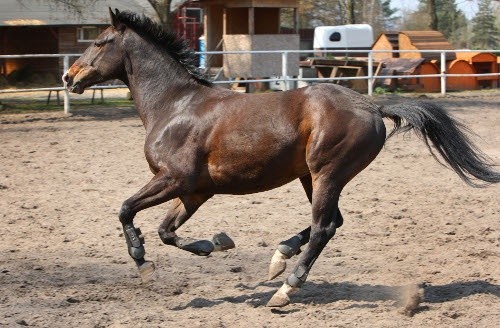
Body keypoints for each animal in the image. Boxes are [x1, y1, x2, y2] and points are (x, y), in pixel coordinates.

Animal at [62, 9, 500, 308]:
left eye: (99, 42)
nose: (69, 77)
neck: (174, 105)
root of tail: (373, 107)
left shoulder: (174, 180)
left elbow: (125, 210)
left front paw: (144, 266)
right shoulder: (195, 192)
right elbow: (166, 231)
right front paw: (215, 243)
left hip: (327, 173)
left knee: (324, 227)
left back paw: (287, 289)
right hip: (312, 177)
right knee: (333, 222)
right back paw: (279, 258)